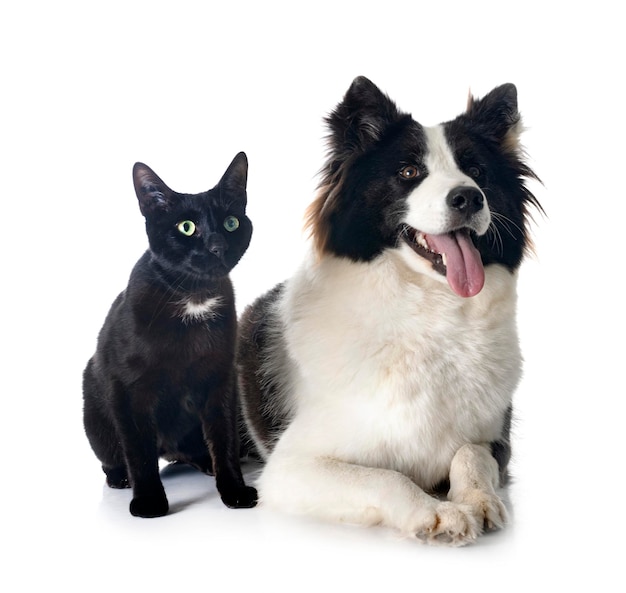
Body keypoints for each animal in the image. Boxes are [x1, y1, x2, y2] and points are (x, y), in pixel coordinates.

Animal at [82, 154, 256, 520]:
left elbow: (225, 439)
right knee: (114, 458)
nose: (217, 246)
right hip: (95, 416)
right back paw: (120, 479)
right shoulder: (129, 390)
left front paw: (234, 491)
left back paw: (205, 463)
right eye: (186, 227)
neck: (194, 297)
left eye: (231, 222)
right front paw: (148, 502)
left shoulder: (221, 381)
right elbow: (139, 452)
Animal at [236, 76, 540, 544]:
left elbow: (470, 453)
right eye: (409, 172)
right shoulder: (290, 467)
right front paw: (435, 511)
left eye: (477, 172)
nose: (469, 198)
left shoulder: (497, 439)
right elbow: (384, 477)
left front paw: (477, 500)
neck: (433, 317)